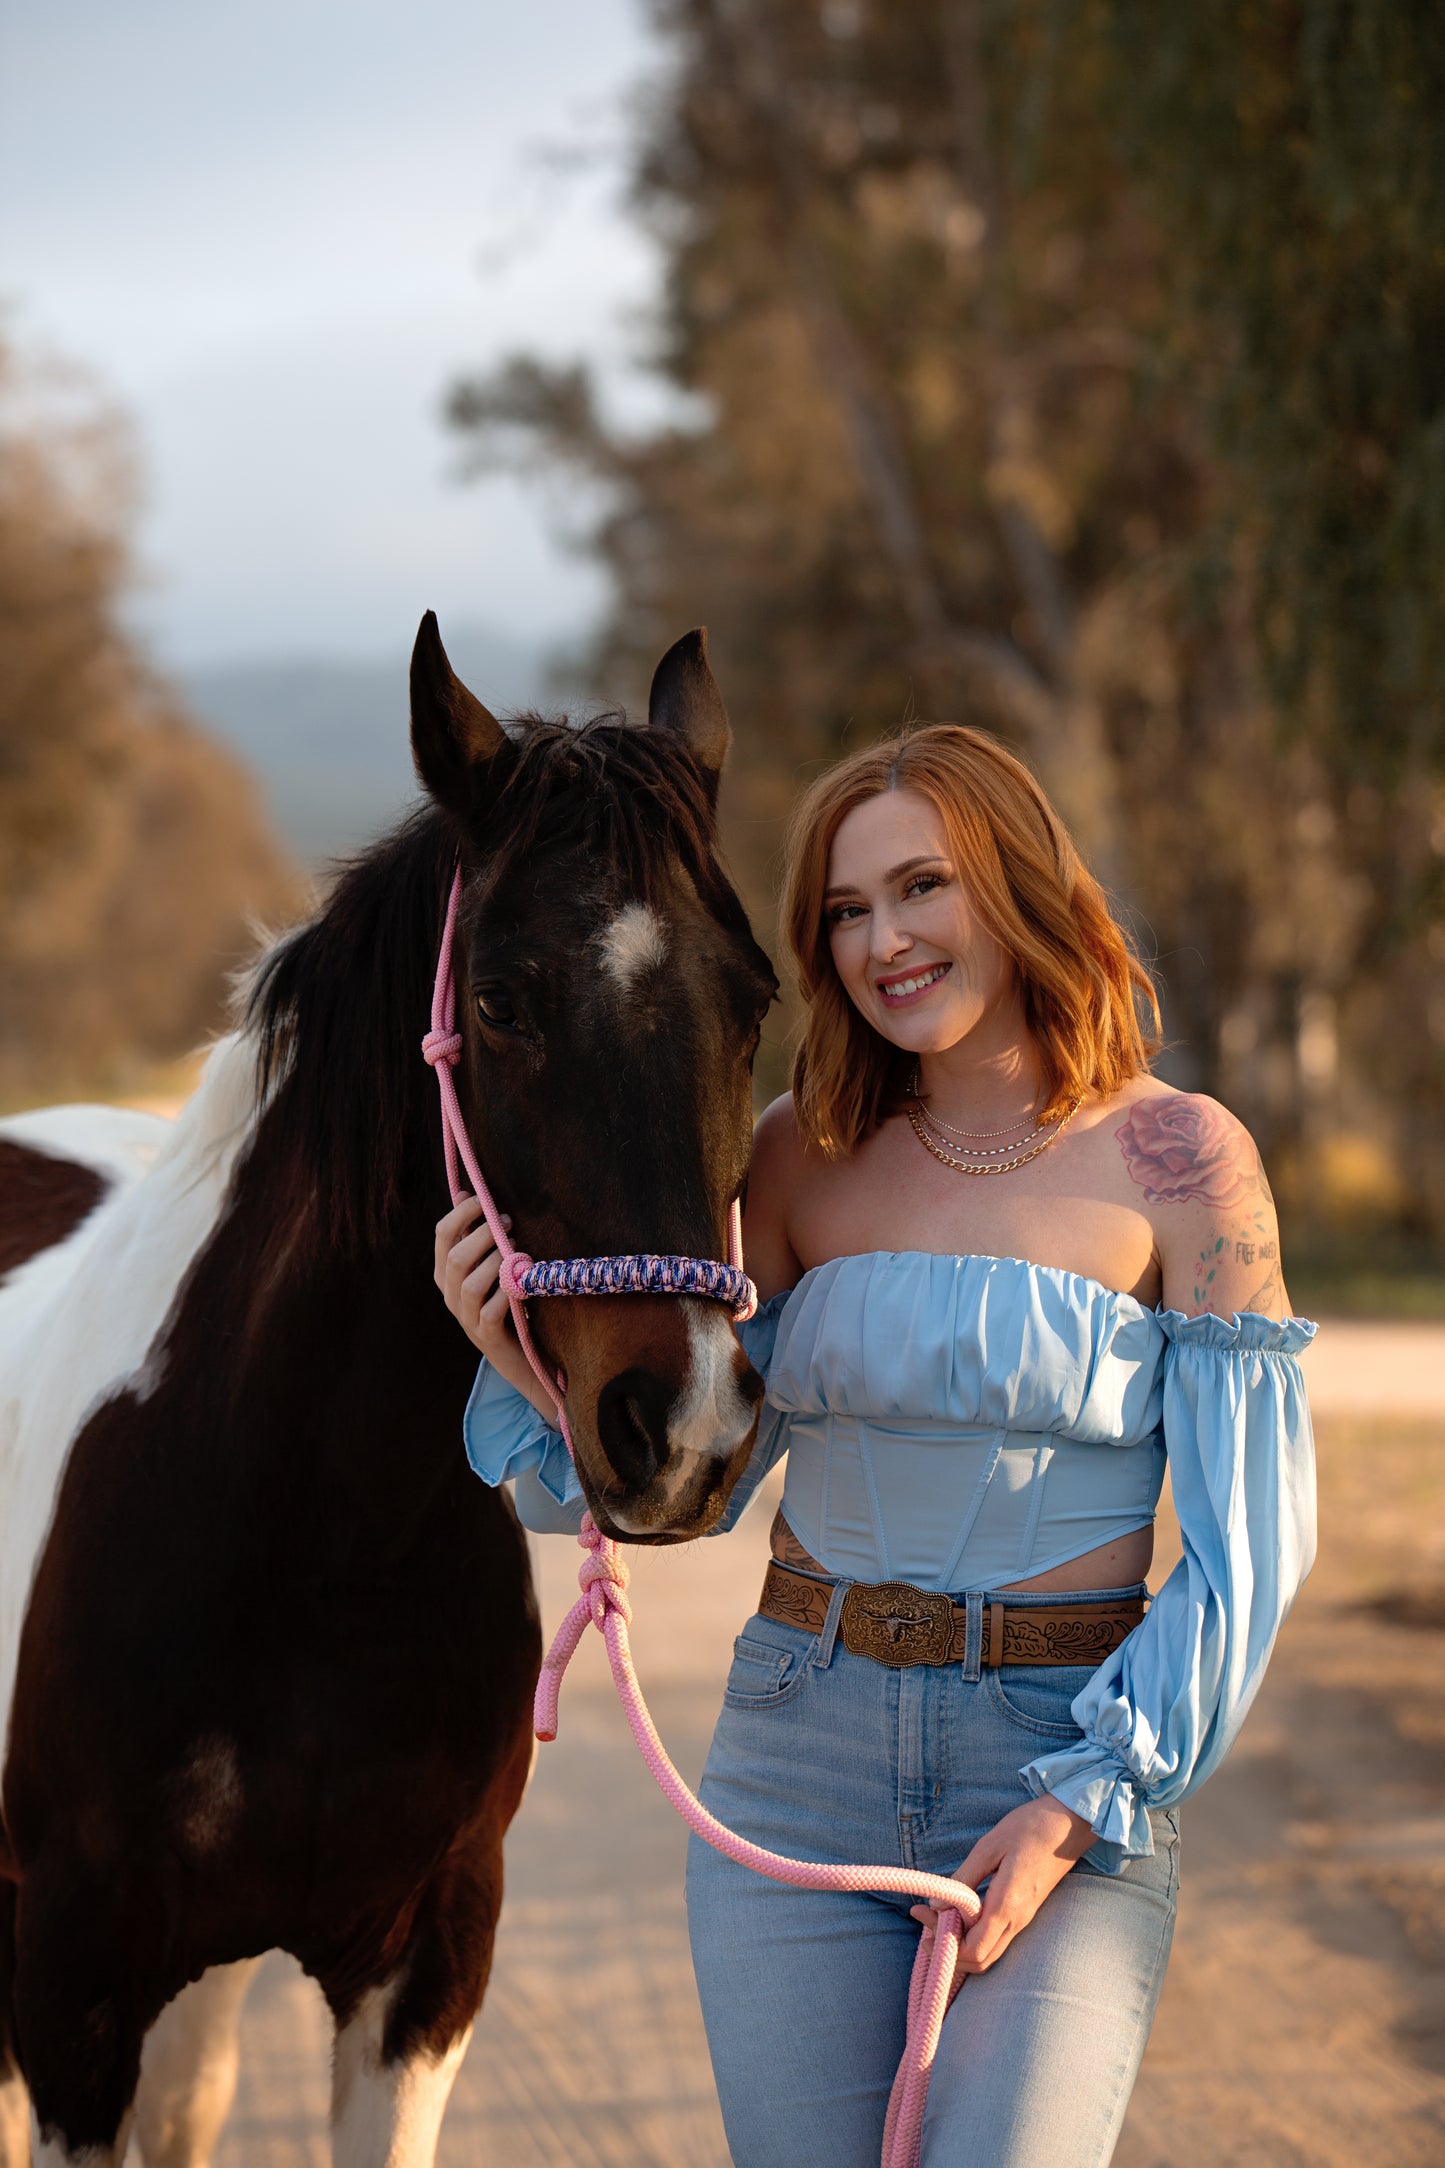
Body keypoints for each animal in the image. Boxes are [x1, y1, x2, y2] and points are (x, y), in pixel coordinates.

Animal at [0, 615, 779, 2168]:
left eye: (757, 999)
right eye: (498, 998)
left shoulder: (423, 1968)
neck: (309, 1535)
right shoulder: (72, 1992)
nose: (684, 1429)